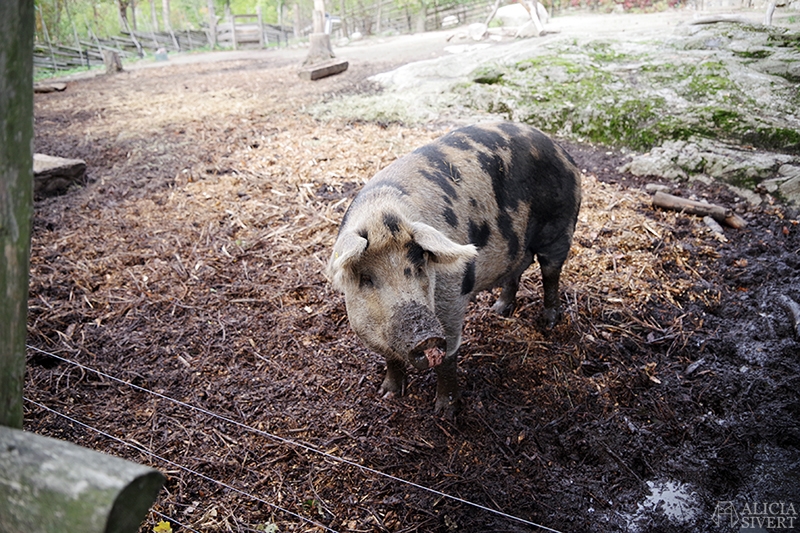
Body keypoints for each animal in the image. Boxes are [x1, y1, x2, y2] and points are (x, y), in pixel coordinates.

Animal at [324, 121, 580, 416]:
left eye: (420, 267)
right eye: (366, 278)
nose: (425, 337)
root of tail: (562, 152)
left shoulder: (452, 294)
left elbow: (449, 356)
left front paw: (447, 412)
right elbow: (390, 358)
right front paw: (387, 394)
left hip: (560, 227)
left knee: (551, 273)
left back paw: (548, 323)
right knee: (517, 269)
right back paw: (498, 311)